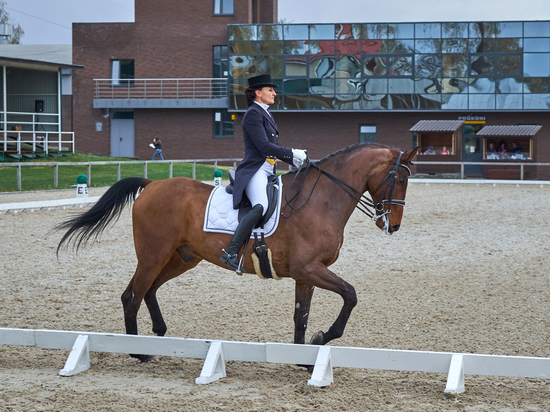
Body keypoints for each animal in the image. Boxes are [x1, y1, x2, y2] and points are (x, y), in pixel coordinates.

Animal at [57, 144, 418, 360]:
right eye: (399, 179)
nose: (394, 225)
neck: (322, 200)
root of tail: (152, 184)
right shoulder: (309, 269)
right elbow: (350, 295)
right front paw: (321, 338)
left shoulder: (306, 273)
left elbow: (301, 315)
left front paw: (303, 358)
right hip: (153, 254)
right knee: (132, 295)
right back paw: (138, 351)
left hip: (181, 258)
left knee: (149, 290)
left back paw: (157, 336)